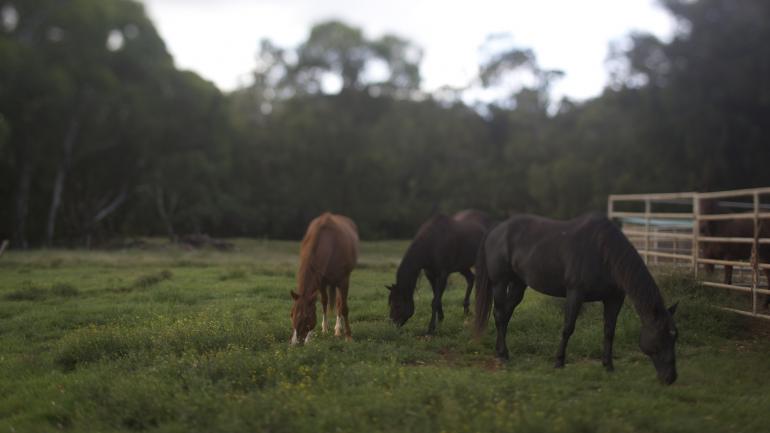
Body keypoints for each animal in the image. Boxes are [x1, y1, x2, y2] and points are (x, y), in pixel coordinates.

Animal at [290, 213, 359, 345]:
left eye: (306, 317)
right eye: (291, 314)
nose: (295, 343)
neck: (329, 243)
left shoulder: (343, 281)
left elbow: (344, 308)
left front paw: (348, 336)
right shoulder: (321, 281)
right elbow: (323, 302)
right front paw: (322, 330)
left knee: (339, 303)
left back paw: (338, 330)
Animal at [474, 213, 679, 385]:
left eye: (675, 336)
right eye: (661, 336)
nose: (671, 378)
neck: (603, 252)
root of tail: (496, 229)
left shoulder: (614, 299)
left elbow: (609, 331)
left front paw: (608, 366)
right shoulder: (575, 293)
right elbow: (568, 328)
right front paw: (559, 362)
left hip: (518, 284)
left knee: (506, 314)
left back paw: (503, 352)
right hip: (500, 283)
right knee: (499, 314)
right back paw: (502, 355)